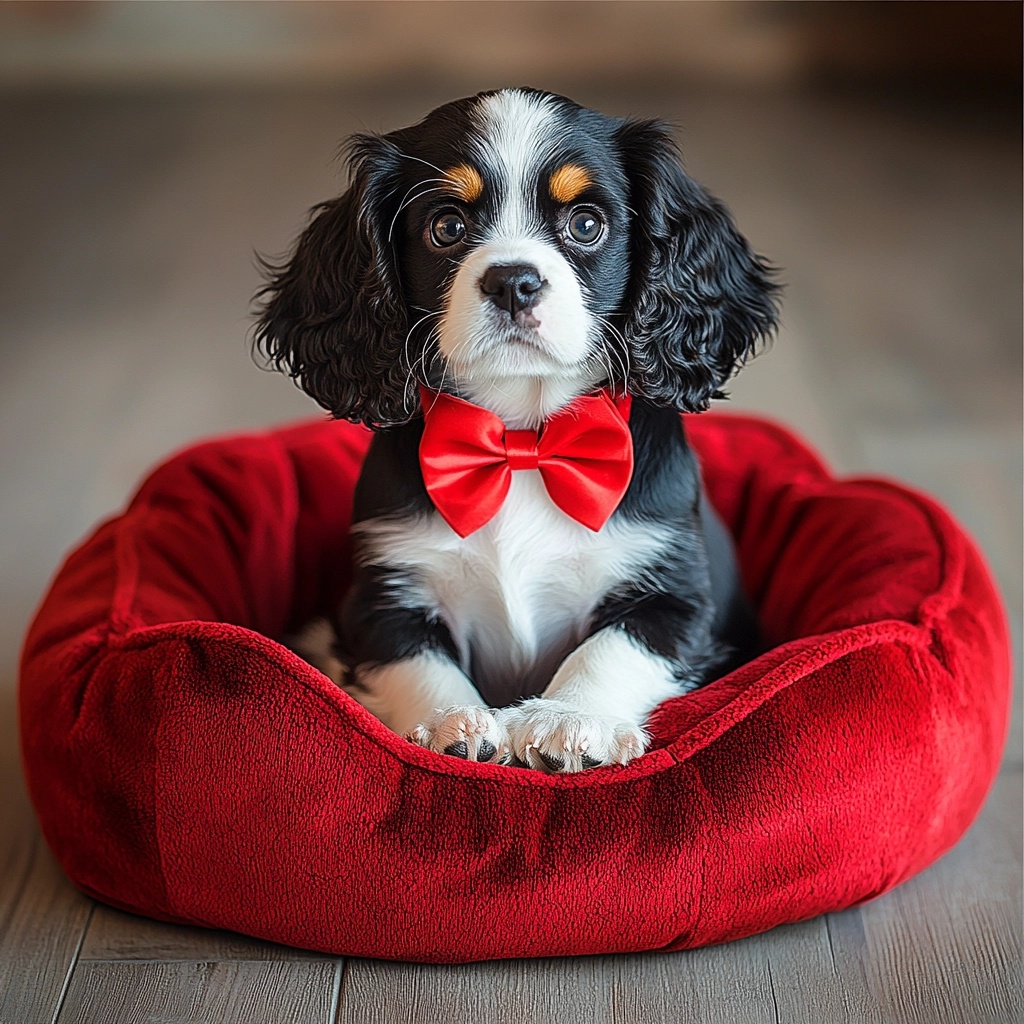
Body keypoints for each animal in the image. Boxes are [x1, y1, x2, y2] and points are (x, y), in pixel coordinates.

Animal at [253, 90, 774, 774]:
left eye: (586, 224)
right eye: (446, 226)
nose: (513, 281)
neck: (522, 442)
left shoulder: (677, 595)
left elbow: (613, 645)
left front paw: (569, 719)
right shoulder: (382, 595)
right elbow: (413, 659)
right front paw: (451, 722)